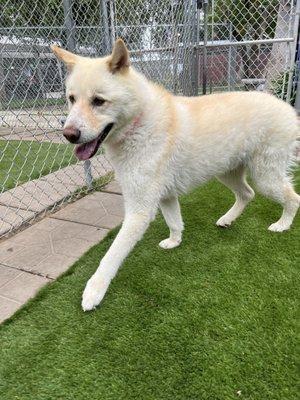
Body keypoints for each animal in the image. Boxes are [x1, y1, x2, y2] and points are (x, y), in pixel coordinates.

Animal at [50, 39, 298, 310]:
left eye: (98, 101)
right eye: (71, 99)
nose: (68, 134)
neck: (139, 122)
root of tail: (288, 109)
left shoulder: (139, 210)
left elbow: (111, 255)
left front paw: (94, 291)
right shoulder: (165, 196)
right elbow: (174, 222)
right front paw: (174, 241)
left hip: (265, 177)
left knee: (292, 198)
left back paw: (282, 225)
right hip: (228, 173)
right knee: (247, 194)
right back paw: (227, 219)